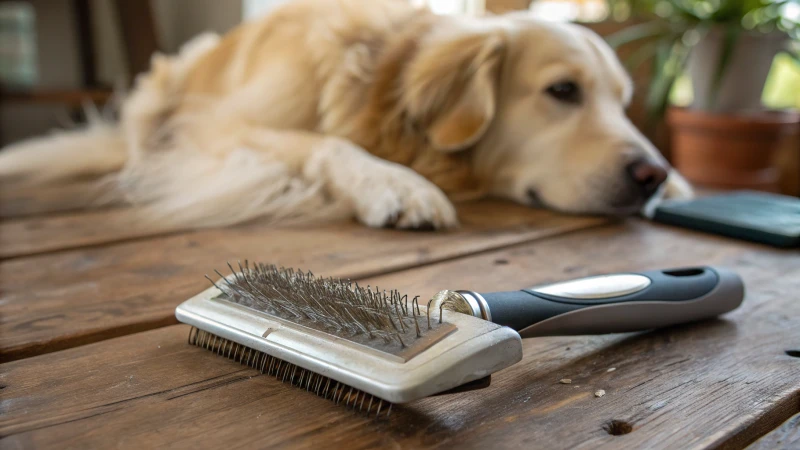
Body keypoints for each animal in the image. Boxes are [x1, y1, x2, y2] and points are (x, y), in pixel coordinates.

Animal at [0, 0, 692, 230]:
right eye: (563, 91)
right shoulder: (215, 128)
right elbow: (324, 142)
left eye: (624, 102)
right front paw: (396, 184)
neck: (378, 84)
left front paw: (683, 182)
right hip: (166, 79)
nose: (651, 175)